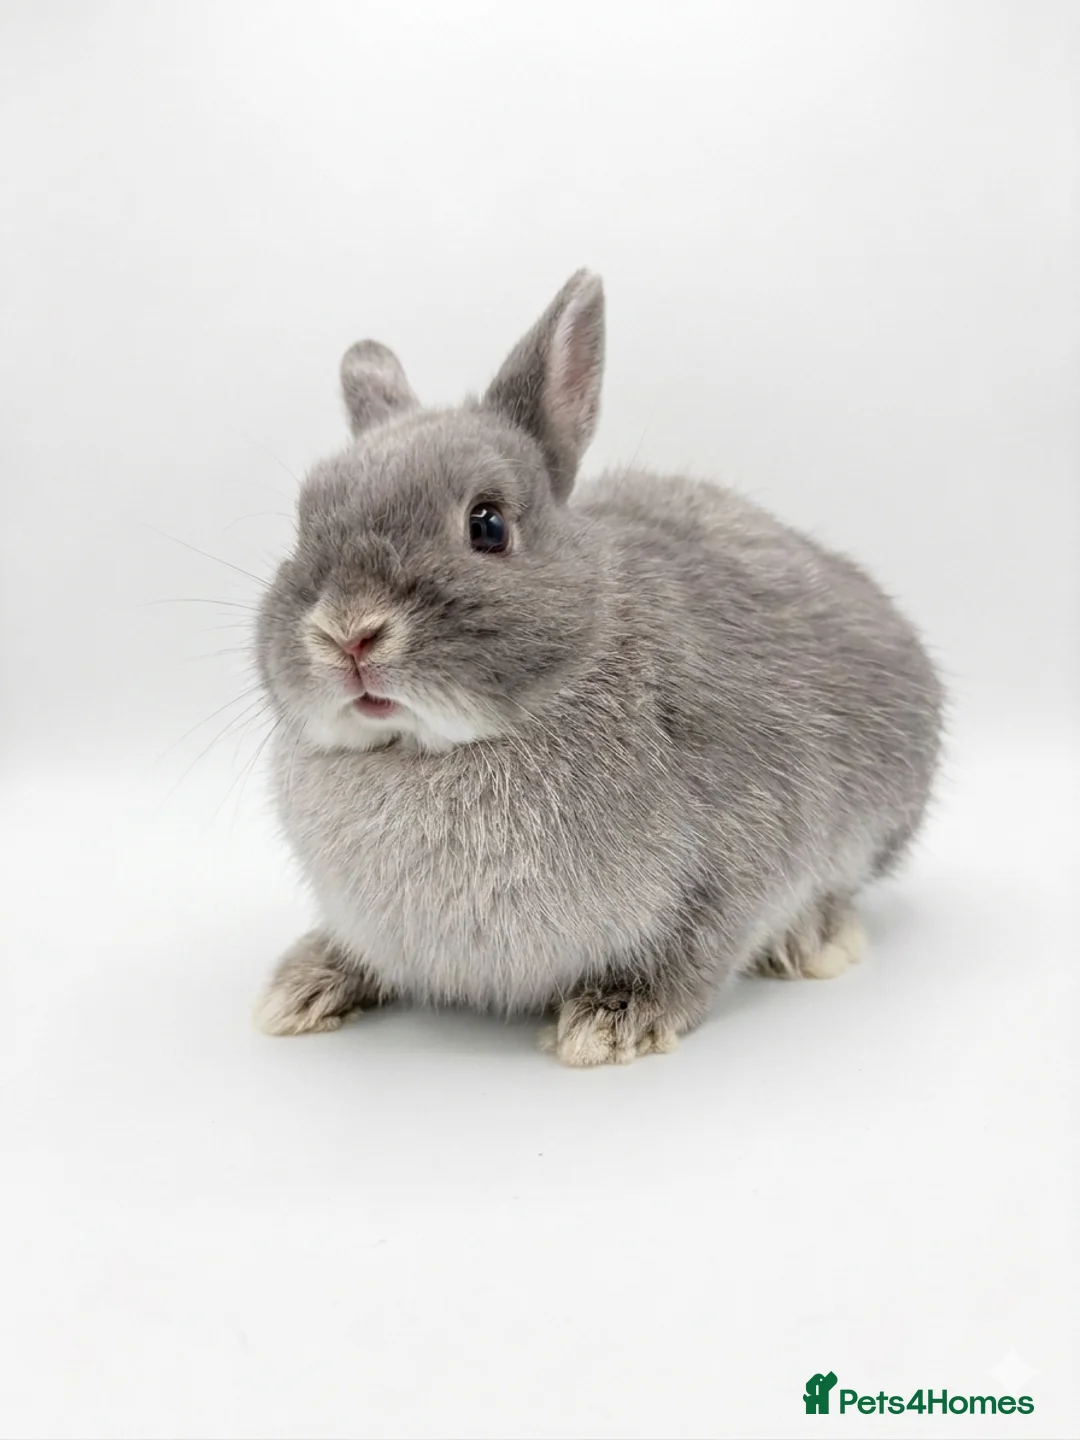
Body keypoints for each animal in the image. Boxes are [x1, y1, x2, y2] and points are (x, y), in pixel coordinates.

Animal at [253, 269, 944, 1066]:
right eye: (303, 525)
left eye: (487, 524)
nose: (348, 634)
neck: (431, 750)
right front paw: (303, 985)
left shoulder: (742, 858)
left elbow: (697, 952)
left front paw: (613, 1022)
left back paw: (814, 939)